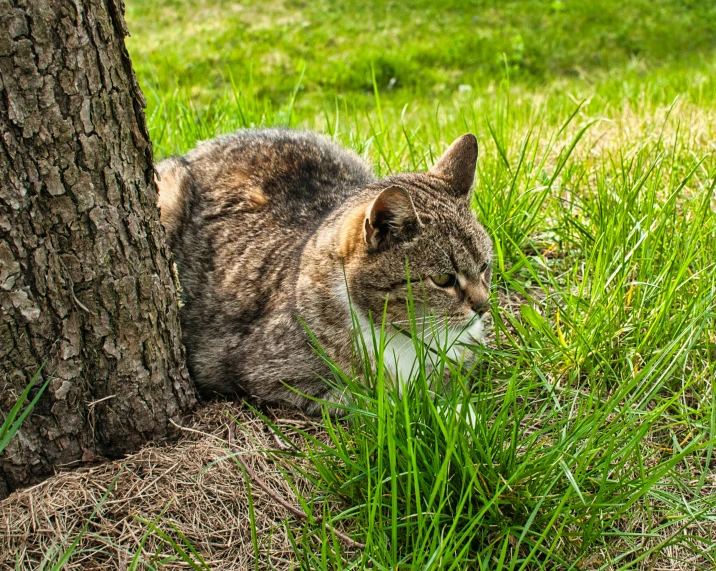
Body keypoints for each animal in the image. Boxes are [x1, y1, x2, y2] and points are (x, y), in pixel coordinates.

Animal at [156, 130, 492, 414]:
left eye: (485, 267)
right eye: (442, 279)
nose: (483, 306)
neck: (404, 337)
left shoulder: (465, 355)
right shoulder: (265, 372)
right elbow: (367, 397)